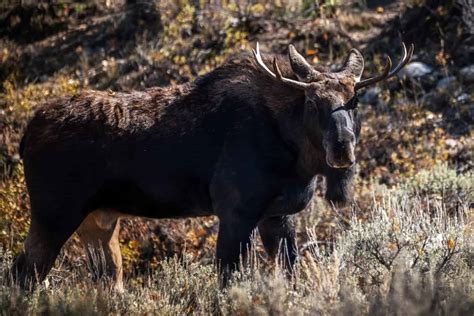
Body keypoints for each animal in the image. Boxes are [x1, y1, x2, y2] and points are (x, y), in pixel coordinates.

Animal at [10, 42, 412, 292]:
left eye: (354, 100)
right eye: (313, 101)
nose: (342, 147)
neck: (295, 156)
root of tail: (27, 134)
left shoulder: (276, 215)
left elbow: (289, 274)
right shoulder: (235, 212)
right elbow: (228, 280)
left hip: (99, 221)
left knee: (105, 281)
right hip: (55, 212)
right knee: (23, 274)